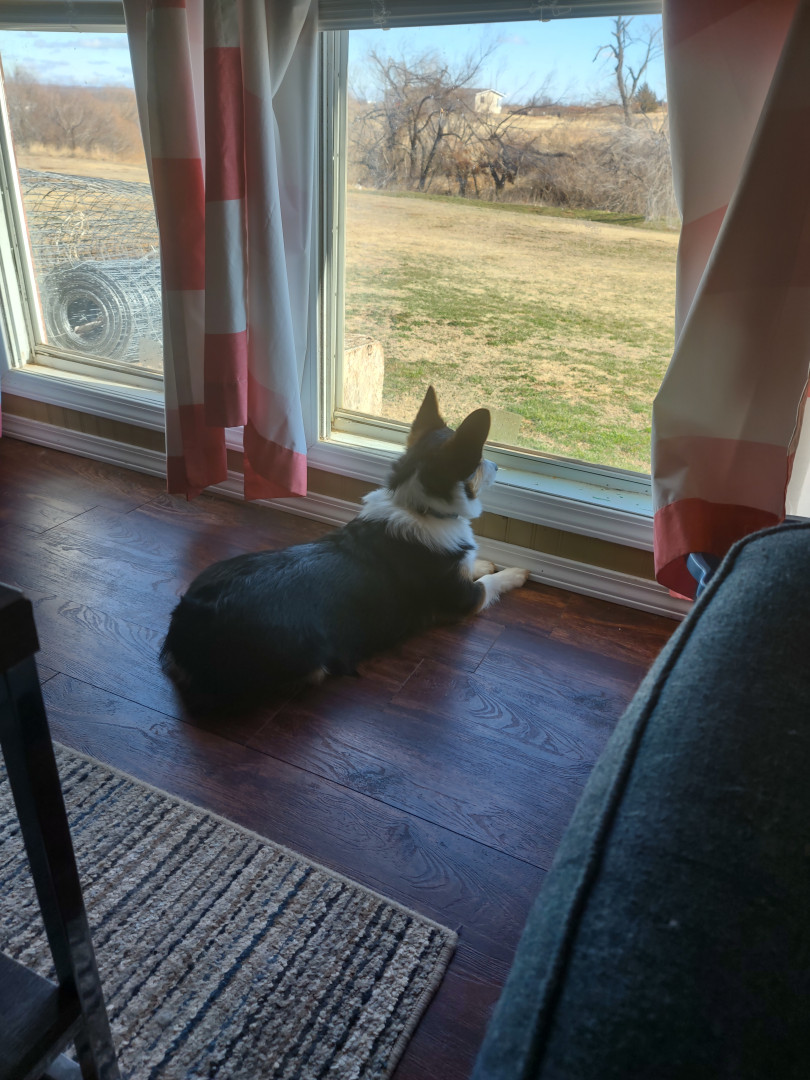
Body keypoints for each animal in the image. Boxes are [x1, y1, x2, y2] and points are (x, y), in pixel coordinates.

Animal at [161, 386, 529, 710]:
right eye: (480, 461)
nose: (499, 466)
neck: (418, 506)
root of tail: (187, 625)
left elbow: (475, 565)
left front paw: (484, 562)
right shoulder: (465, 600)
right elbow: (491, 583)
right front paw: (516, 572)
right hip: (309, 657)